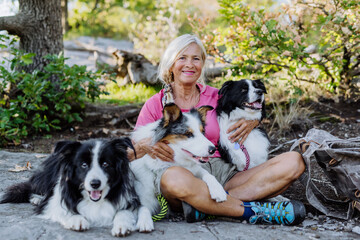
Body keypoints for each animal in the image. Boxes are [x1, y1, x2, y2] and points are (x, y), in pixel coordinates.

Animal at [0, 138, 149, 237]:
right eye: (84, 165)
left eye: (106, 164)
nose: (95, 183)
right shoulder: (55, 201)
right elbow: (63, 209)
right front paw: (77, 219)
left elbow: (124, 211)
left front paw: (122, 225)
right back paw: (36, 198)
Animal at [131, 103, 228, 231]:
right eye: (188, 134)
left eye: (202, 132)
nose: (213, 150)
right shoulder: (142, 193)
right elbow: (143, 207)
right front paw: (145, 222)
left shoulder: (194, 168)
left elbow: (208, 175)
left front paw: (218, 191)